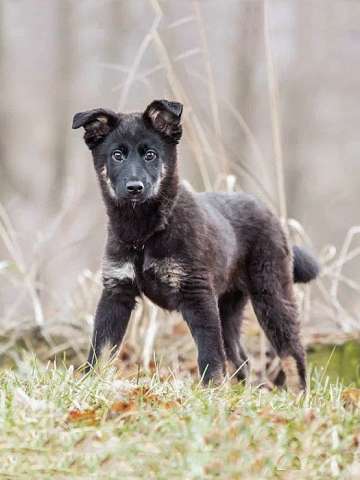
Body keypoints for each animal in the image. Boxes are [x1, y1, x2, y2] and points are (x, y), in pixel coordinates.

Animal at [72, 99, 318, 392]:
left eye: (151, 155)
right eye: (117, 155)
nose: (134, 187)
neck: (145, 233)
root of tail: (271, 214)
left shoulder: (196, 293)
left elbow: (209, 353)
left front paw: (210, 390)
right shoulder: (116, 290)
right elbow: (101, 347)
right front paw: (90, 382)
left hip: (271, 292)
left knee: (291, 351)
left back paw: (297, 394)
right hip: (228, 306)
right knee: (239, 358)